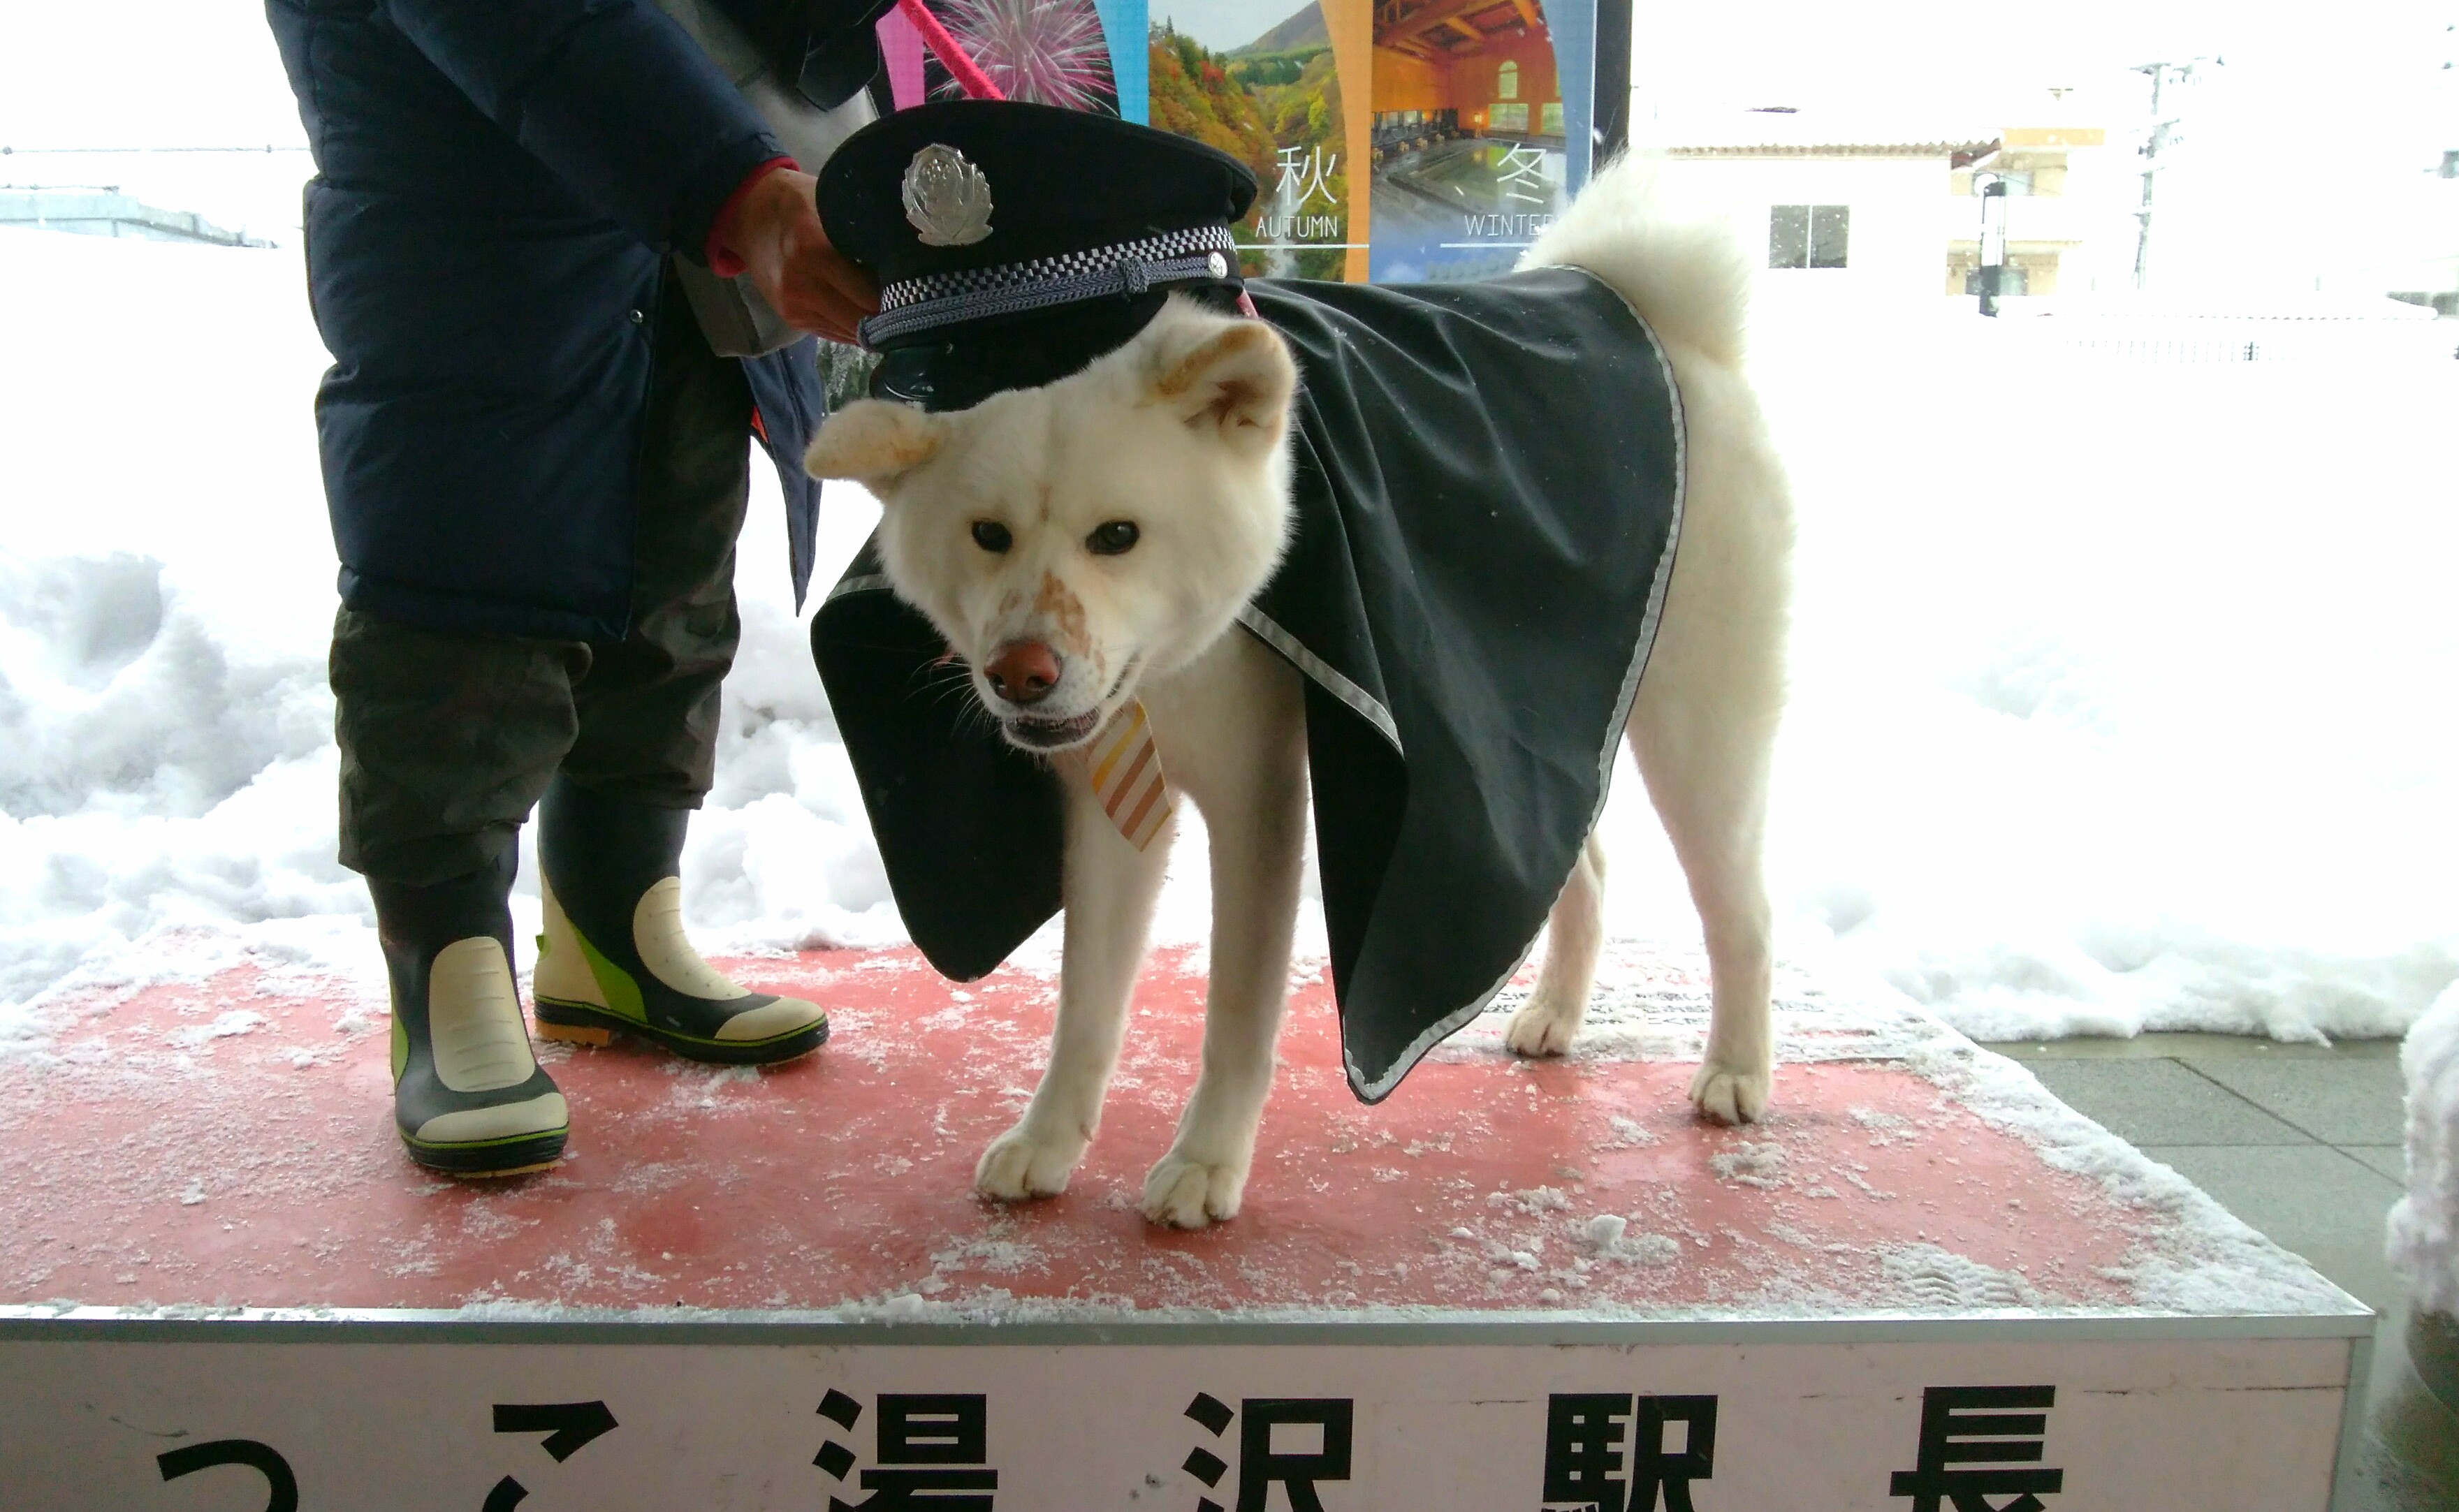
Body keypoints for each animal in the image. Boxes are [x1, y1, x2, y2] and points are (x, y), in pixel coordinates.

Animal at [816, 159, 1800, 1229]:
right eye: (987, 535)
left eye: (1117, 535)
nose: (1020, 672)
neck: (1179, 665)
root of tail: (1639, 308)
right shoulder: (1110, 806)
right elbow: (1086, 1006)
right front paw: (1049, 1140)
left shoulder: (1260, 803)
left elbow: (1237, 1011)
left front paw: (1205, 1160)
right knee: (1578, 867)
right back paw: (1553, 1014)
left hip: (1699, 734)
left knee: (1744, 913)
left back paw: (1738, 1071)